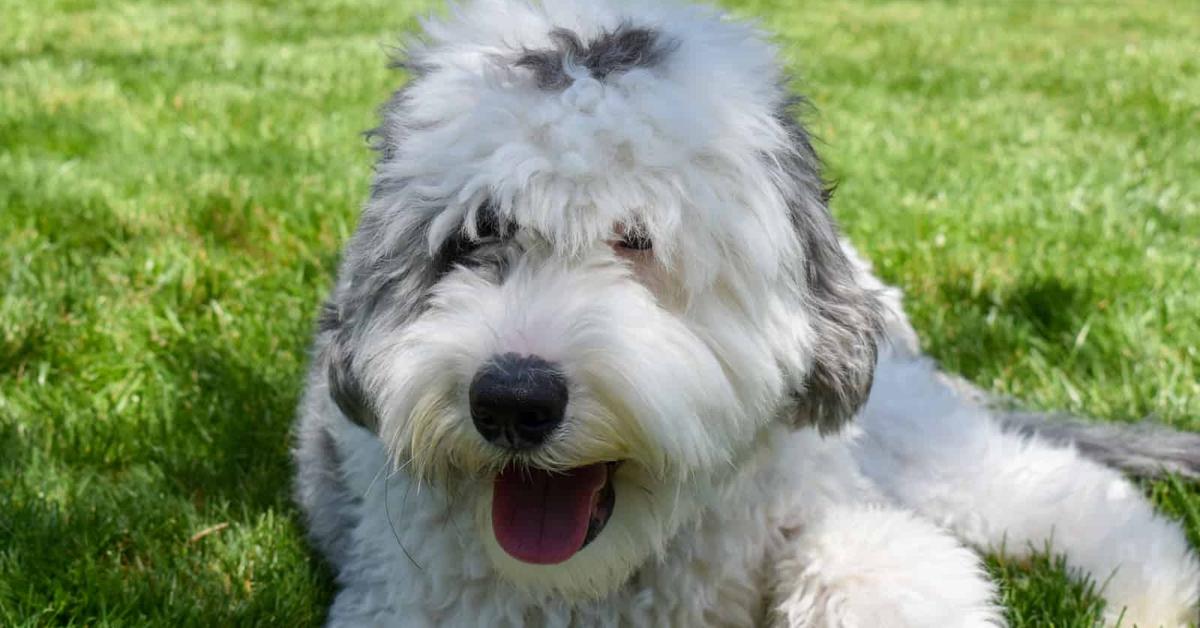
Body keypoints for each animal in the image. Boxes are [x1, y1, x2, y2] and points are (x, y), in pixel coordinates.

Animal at [292, 1, 1200, 624]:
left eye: (636, 239)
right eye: (479, 234)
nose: (513, 399)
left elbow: (871, 561)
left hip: (911, 441)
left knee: (1062, 485)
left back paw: (1149, 597)